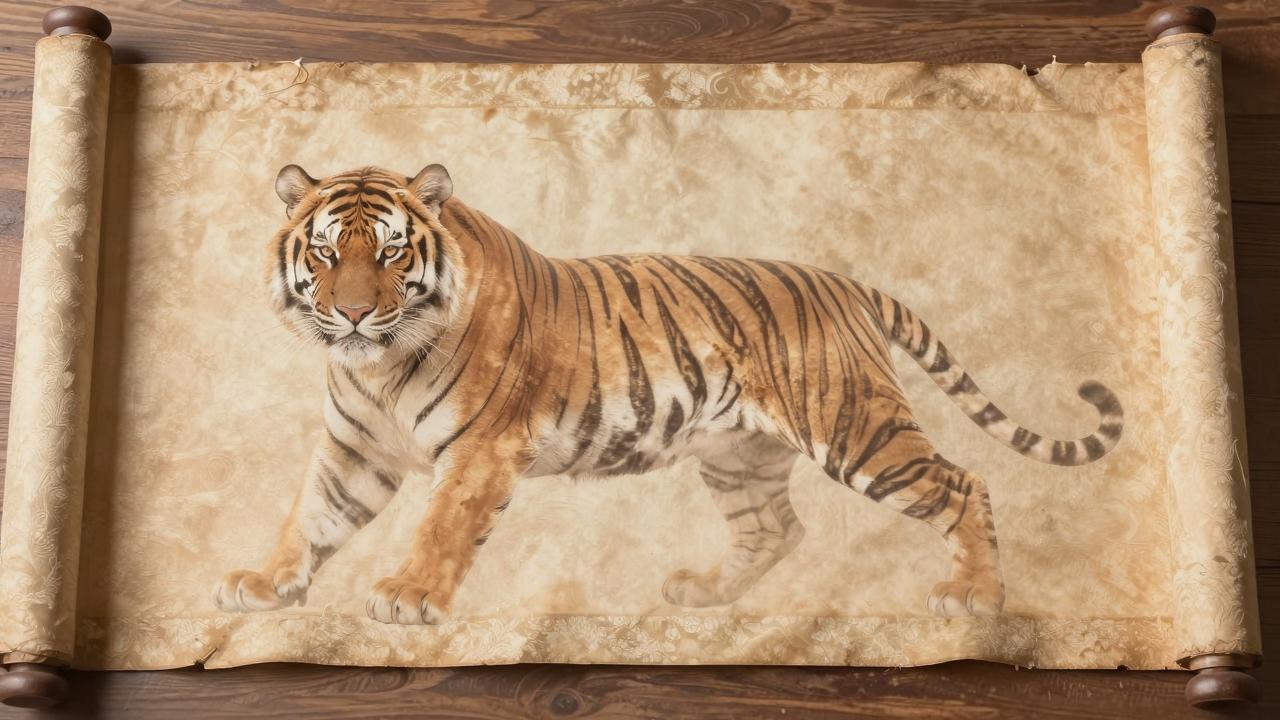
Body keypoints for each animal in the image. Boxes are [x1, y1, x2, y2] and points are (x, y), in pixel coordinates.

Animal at [213, 164, 1123, 624]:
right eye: (326, 253)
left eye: (392, 253)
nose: (353, 312)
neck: (374, 365)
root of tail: (844, 284)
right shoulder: (353, 449)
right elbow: (309, 519)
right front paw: (261, 583)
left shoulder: (480, 449)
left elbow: (440, 529)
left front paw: (406, 598)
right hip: (739, 455)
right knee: (776, 528)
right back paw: (704, 595)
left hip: (856, 428)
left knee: (964, 485)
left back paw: (975, 599)